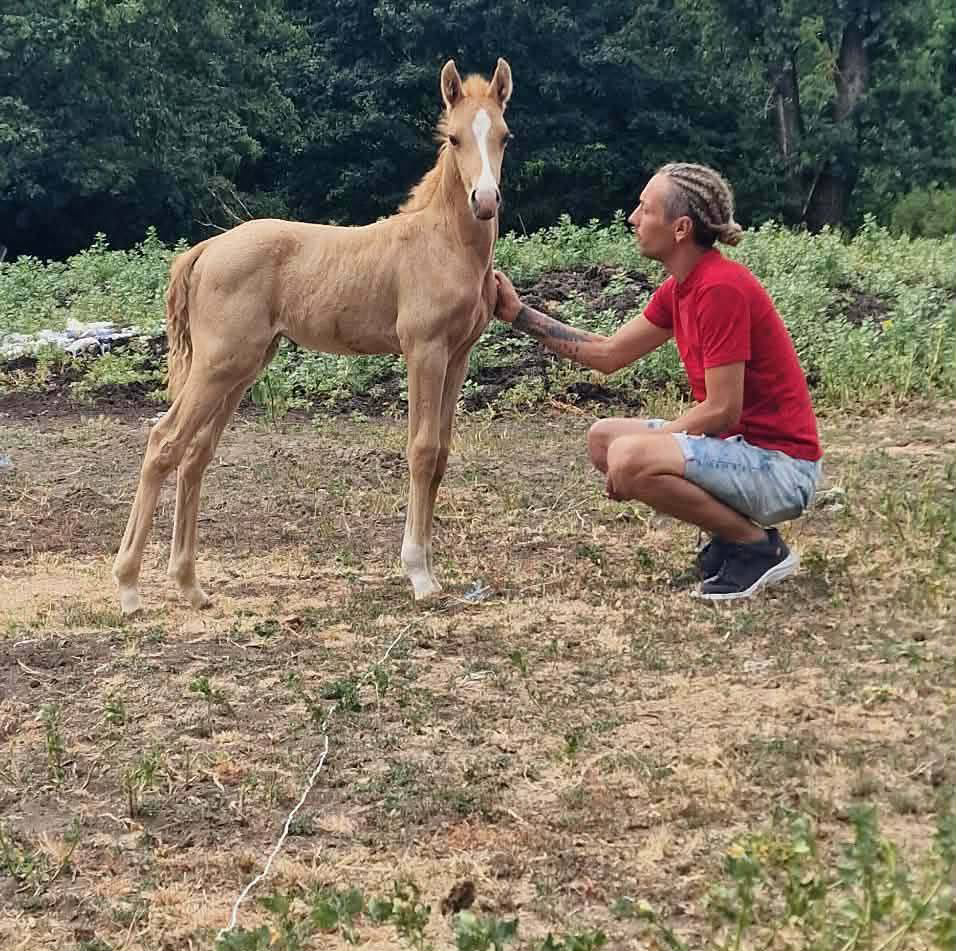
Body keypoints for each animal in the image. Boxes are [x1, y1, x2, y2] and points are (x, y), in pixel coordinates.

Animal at [112, 58, 513, 615]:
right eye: (454, 138)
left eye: (504, 135)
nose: (486, 201)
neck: (443, 243)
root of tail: (206, 248)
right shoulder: (424, 351)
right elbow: (421, 450)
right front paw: (418, 574)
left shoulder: (458, 357)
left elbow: (442, 455)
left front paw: (431, 567)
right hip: (217, 366)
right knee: (164, 441)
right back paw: (129, 587)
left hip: (241, 368)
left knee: (195, 455)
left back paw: (190, 585)